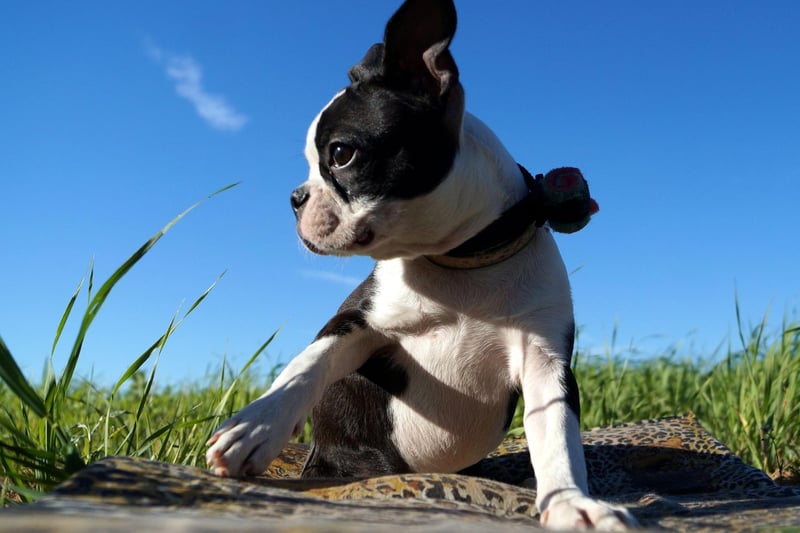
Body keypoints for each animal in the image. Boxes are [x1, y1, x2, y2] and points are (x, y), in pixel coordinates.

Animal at [206, 0, 636, 524]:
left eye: (341, 154)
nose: (295, 197)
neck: (460, 260)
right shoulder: (358, 321)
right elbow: (305, 366)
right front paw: (256, 427)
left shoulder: (544, 360)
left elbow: (557, 439)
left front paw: (573, 504)